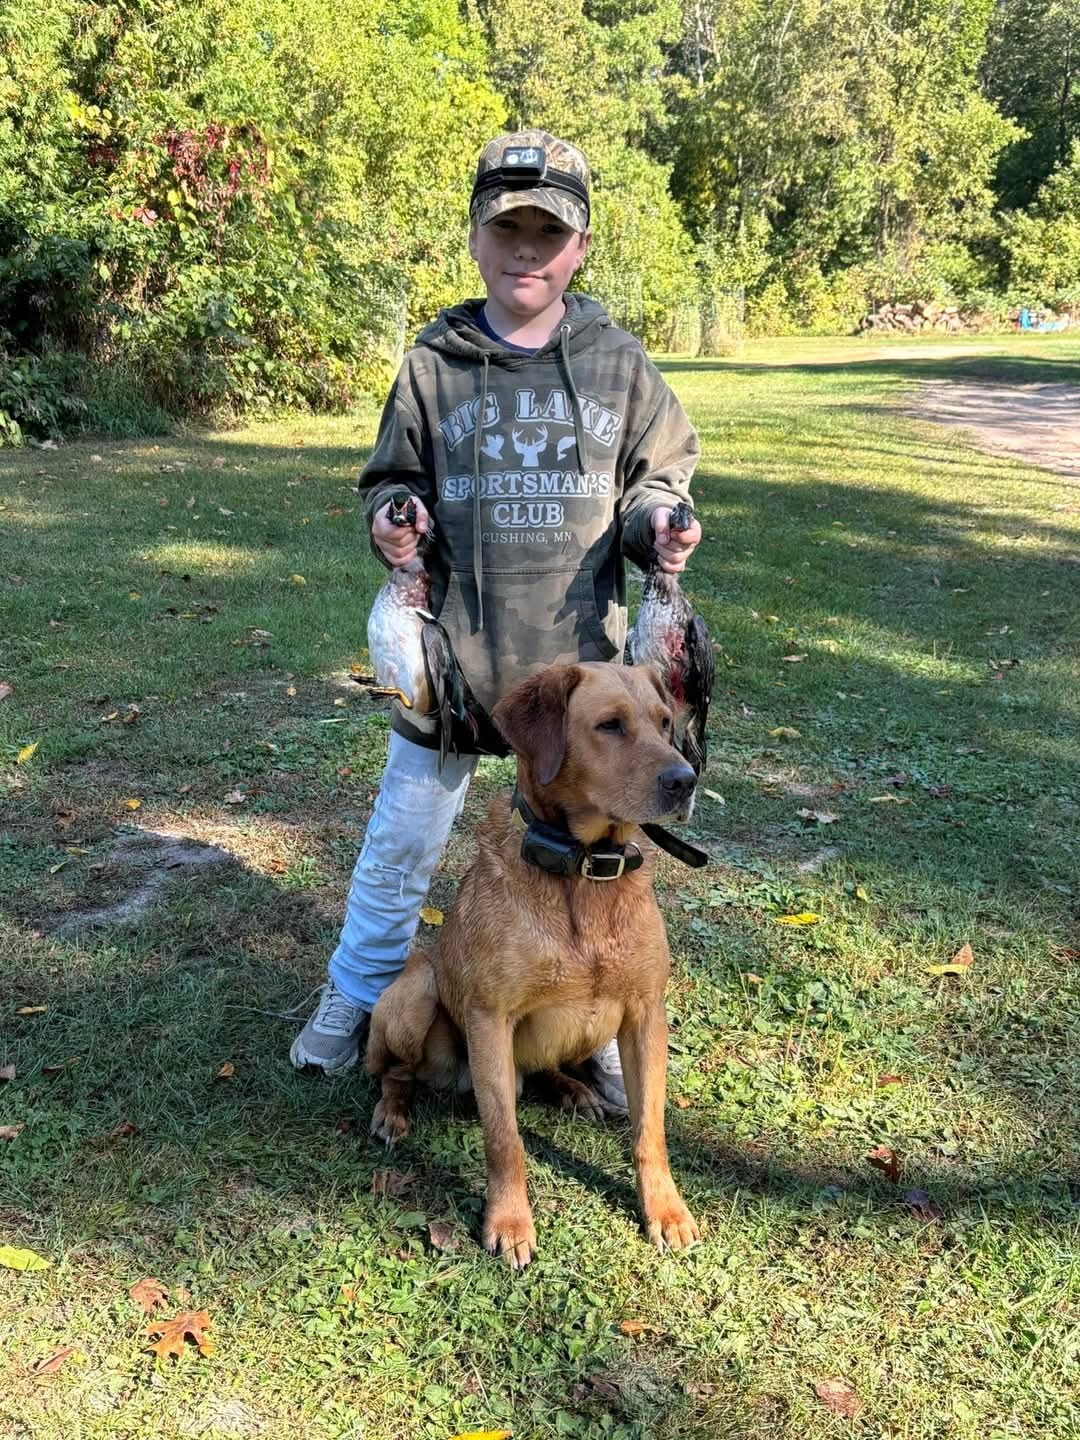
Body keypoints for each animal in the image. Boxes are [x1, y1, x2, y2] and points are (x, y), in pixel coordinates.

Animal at [365, 661, 700, 1268]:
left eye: (666, 723)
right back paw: (393, 1111)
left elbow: (651, 1130)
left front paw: (664, 1211)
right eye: (610, 725)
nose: (685, 780)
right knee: (395, 1071)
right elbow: (505, 1138)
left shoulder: (646, 1015)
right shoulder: (490, 1018)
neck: (584, 874)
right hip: (416, 992)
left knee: (548, 1065)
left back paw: (573, 1089)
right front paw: (509, 1222)